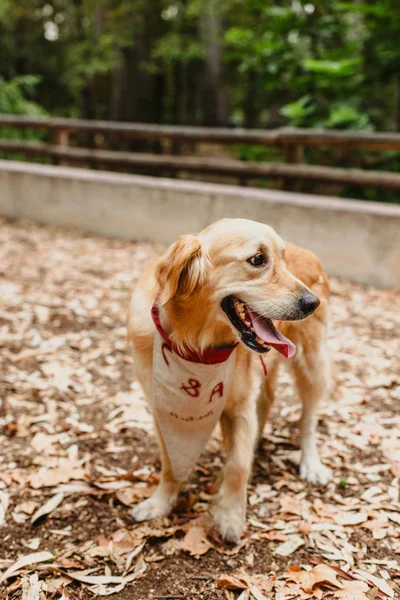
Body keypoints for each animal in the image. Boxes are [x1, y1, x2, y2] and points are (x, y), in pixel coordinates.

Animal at [126, 218, 330, 540]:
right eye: (257, 260)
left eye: (282, 259)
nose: (313, 302)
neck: (195, 343)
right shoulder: (162, 408)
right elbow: (170, 461)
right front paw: (160, 502)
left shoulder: (240, 407)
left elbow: (238, 465)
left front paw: (231, 517)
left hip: (312, 365)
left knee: (307, 420)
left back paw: (311, 464)